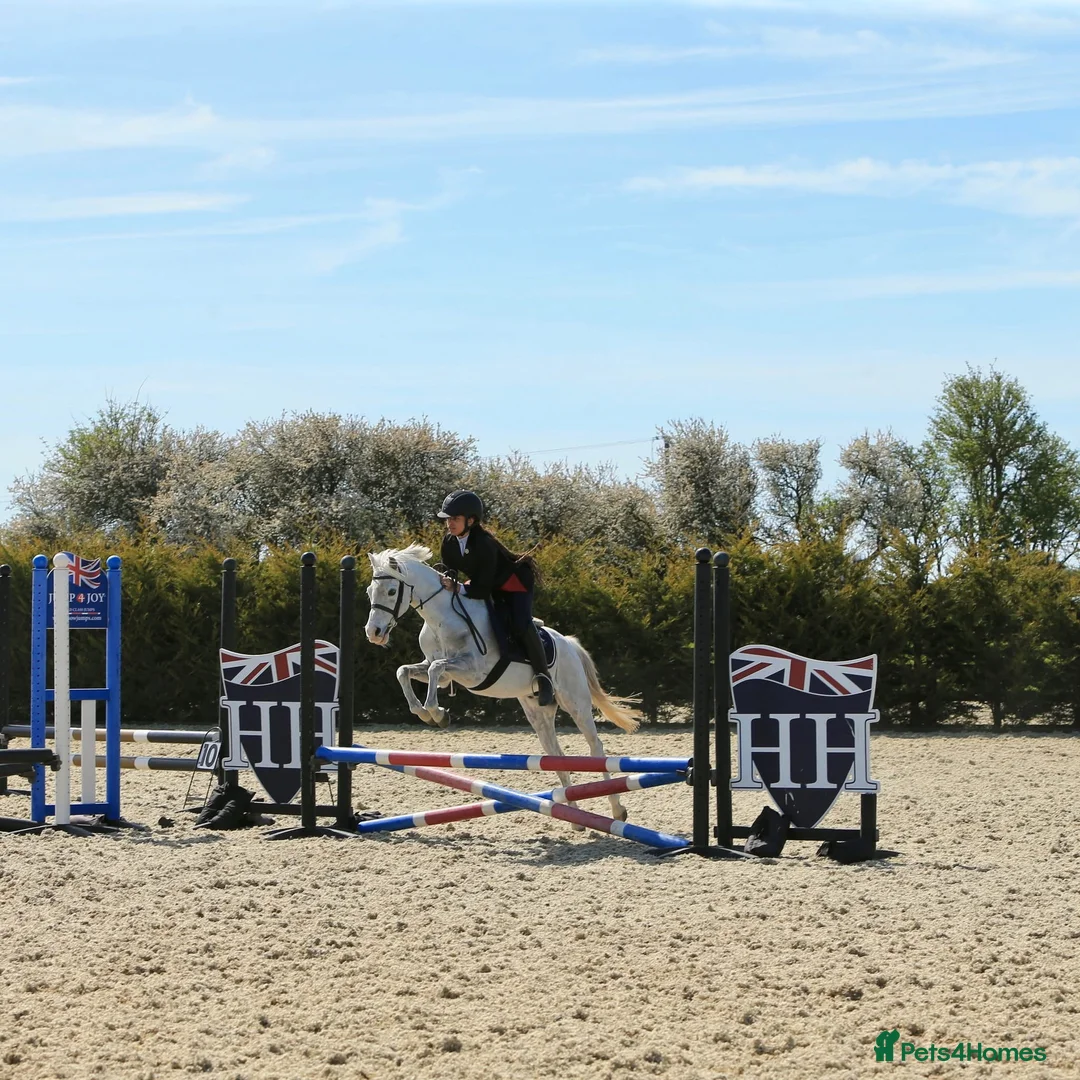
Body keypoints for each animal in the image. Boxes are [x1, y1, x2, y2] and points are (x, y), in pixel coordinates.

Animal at [364, 544, 643, 822]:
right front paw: (424, 712)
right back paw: (573, 816)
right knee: (556, 754)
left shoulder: (473, 670)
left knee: (595, 748)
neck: (441, 619)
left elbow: (435, 668)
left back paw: (617, 810)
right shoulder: (444, 675)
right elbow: (405, 671)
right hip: (537, 710)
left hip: (576, 703)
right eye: (369, 591)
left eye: (391, 591)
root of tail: (570, 644)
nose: (373, 633)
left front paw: (437, 713)